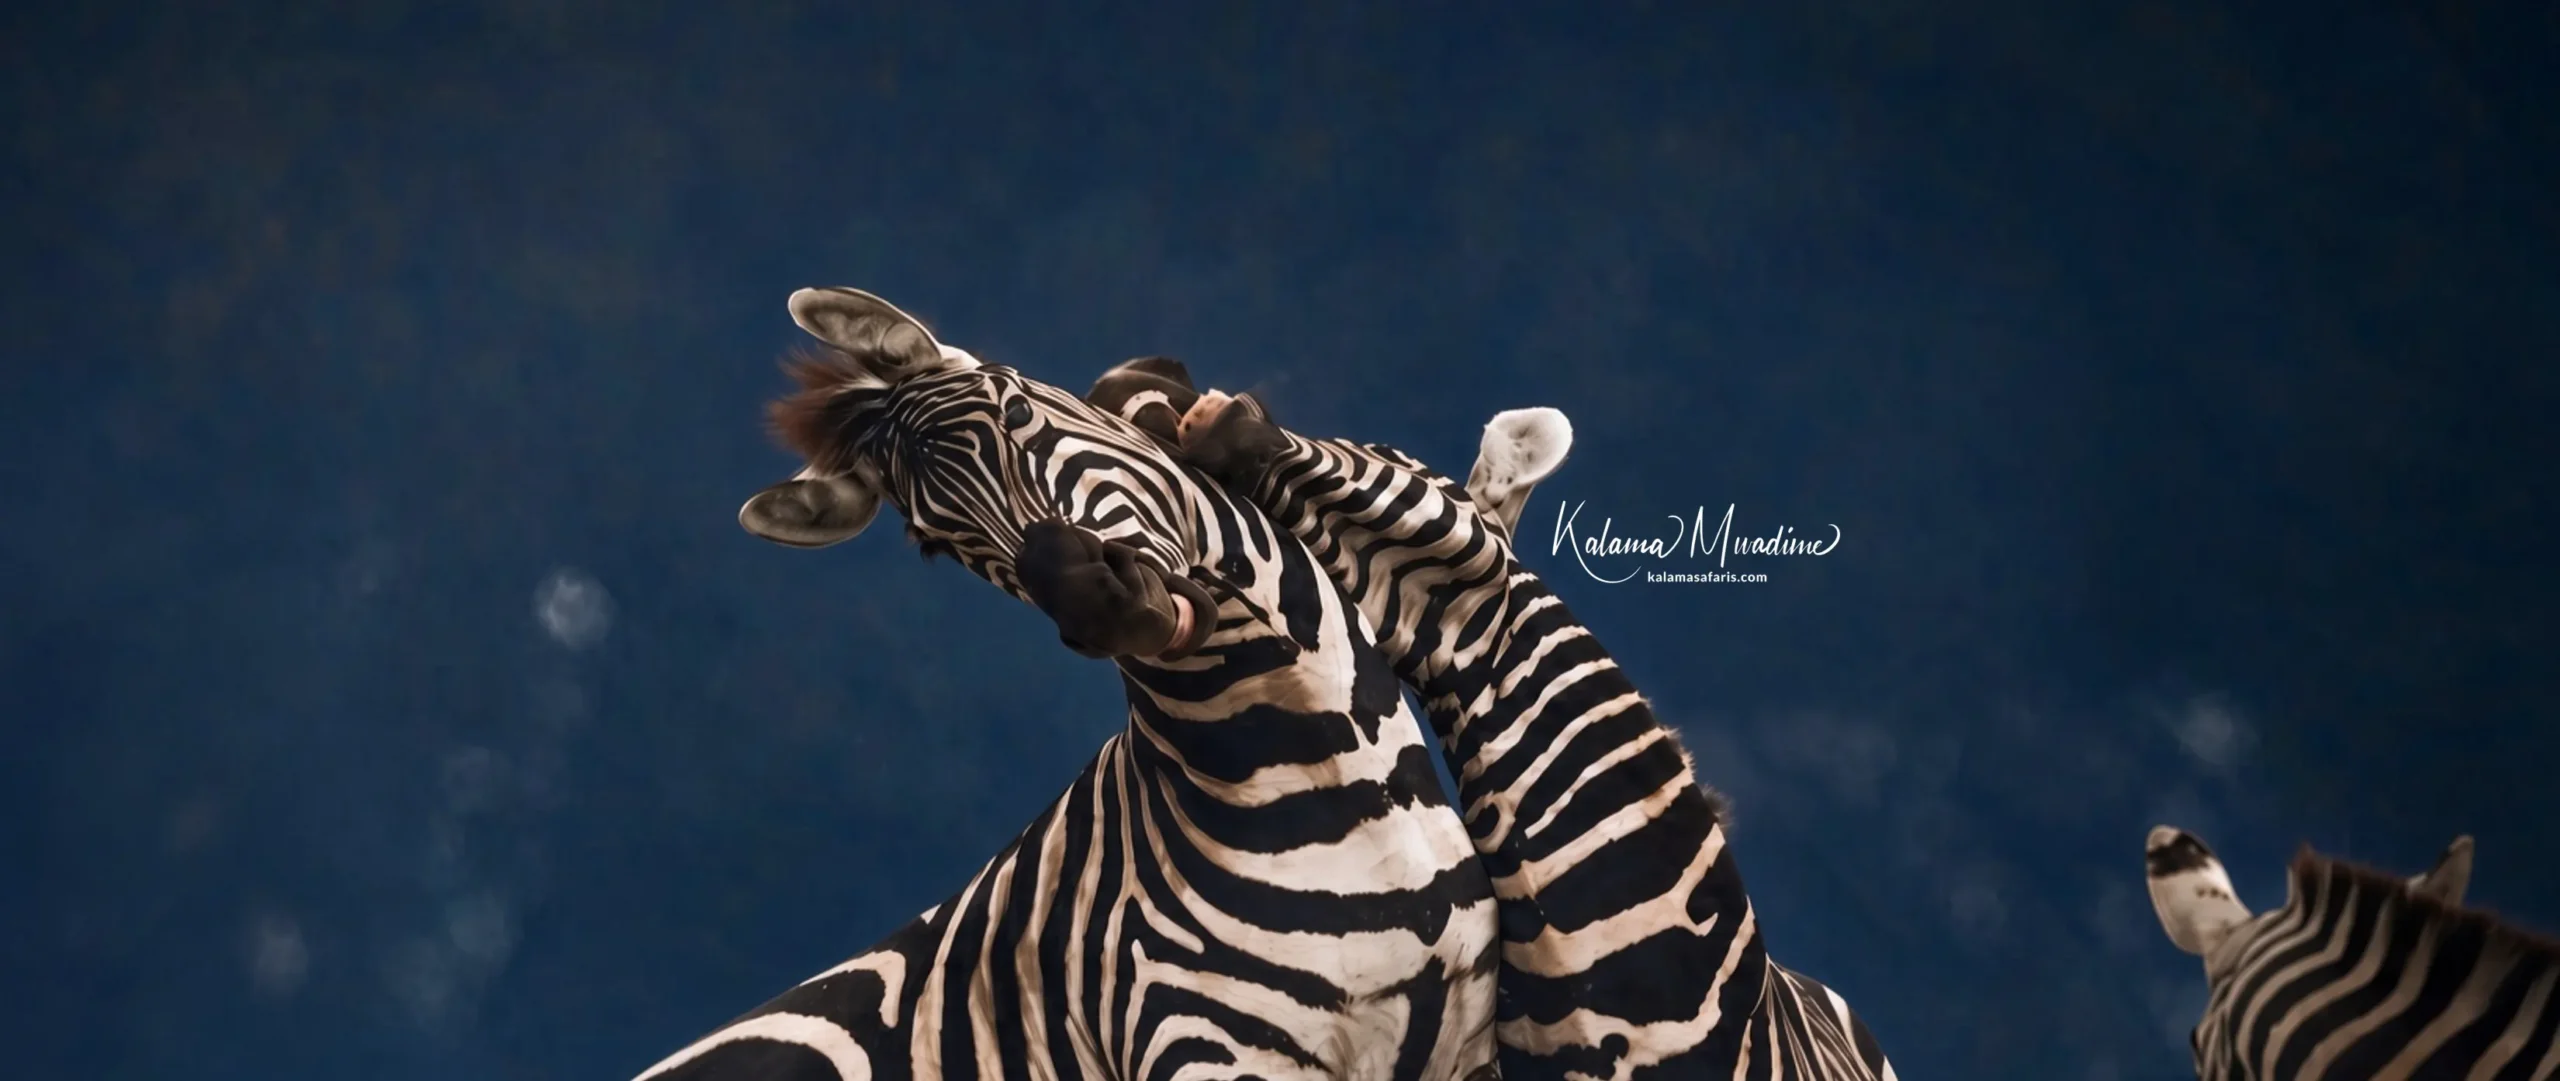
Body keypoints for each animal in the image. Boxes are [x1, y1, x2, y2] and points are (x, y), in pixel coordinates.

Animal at [631, 287, 1502, 1081]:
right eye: (934, 542)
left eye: (1016, 409)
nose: (1100, 599)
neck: (1342, 783)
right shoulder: (1189, 1041)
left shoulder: (1468, 1043)